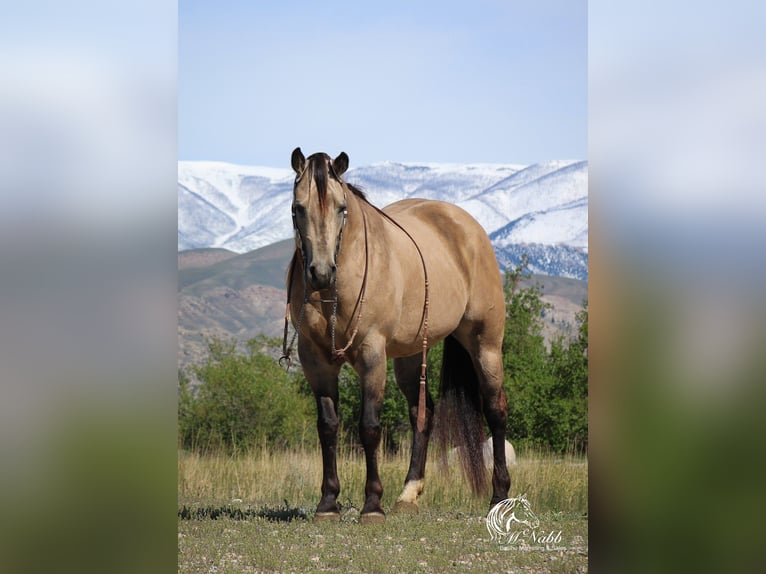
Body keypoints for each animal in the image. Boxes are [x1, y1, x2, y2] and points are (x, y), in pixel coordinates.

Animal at [282, 146, 510, 524]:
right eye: (298, 208)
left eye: (341, 208)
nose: (321, 272)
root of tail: (468, 227)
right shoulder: (315, 361)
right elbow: (327, 426)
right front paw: (328, 503)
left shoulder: (372, 356)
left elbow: (370, 427)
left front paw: (372, 504)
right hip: (410, 355)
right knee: (424, 414)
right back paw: (408, 494)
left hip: (485, 345)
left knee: (495, 411)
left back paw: (500, 495)